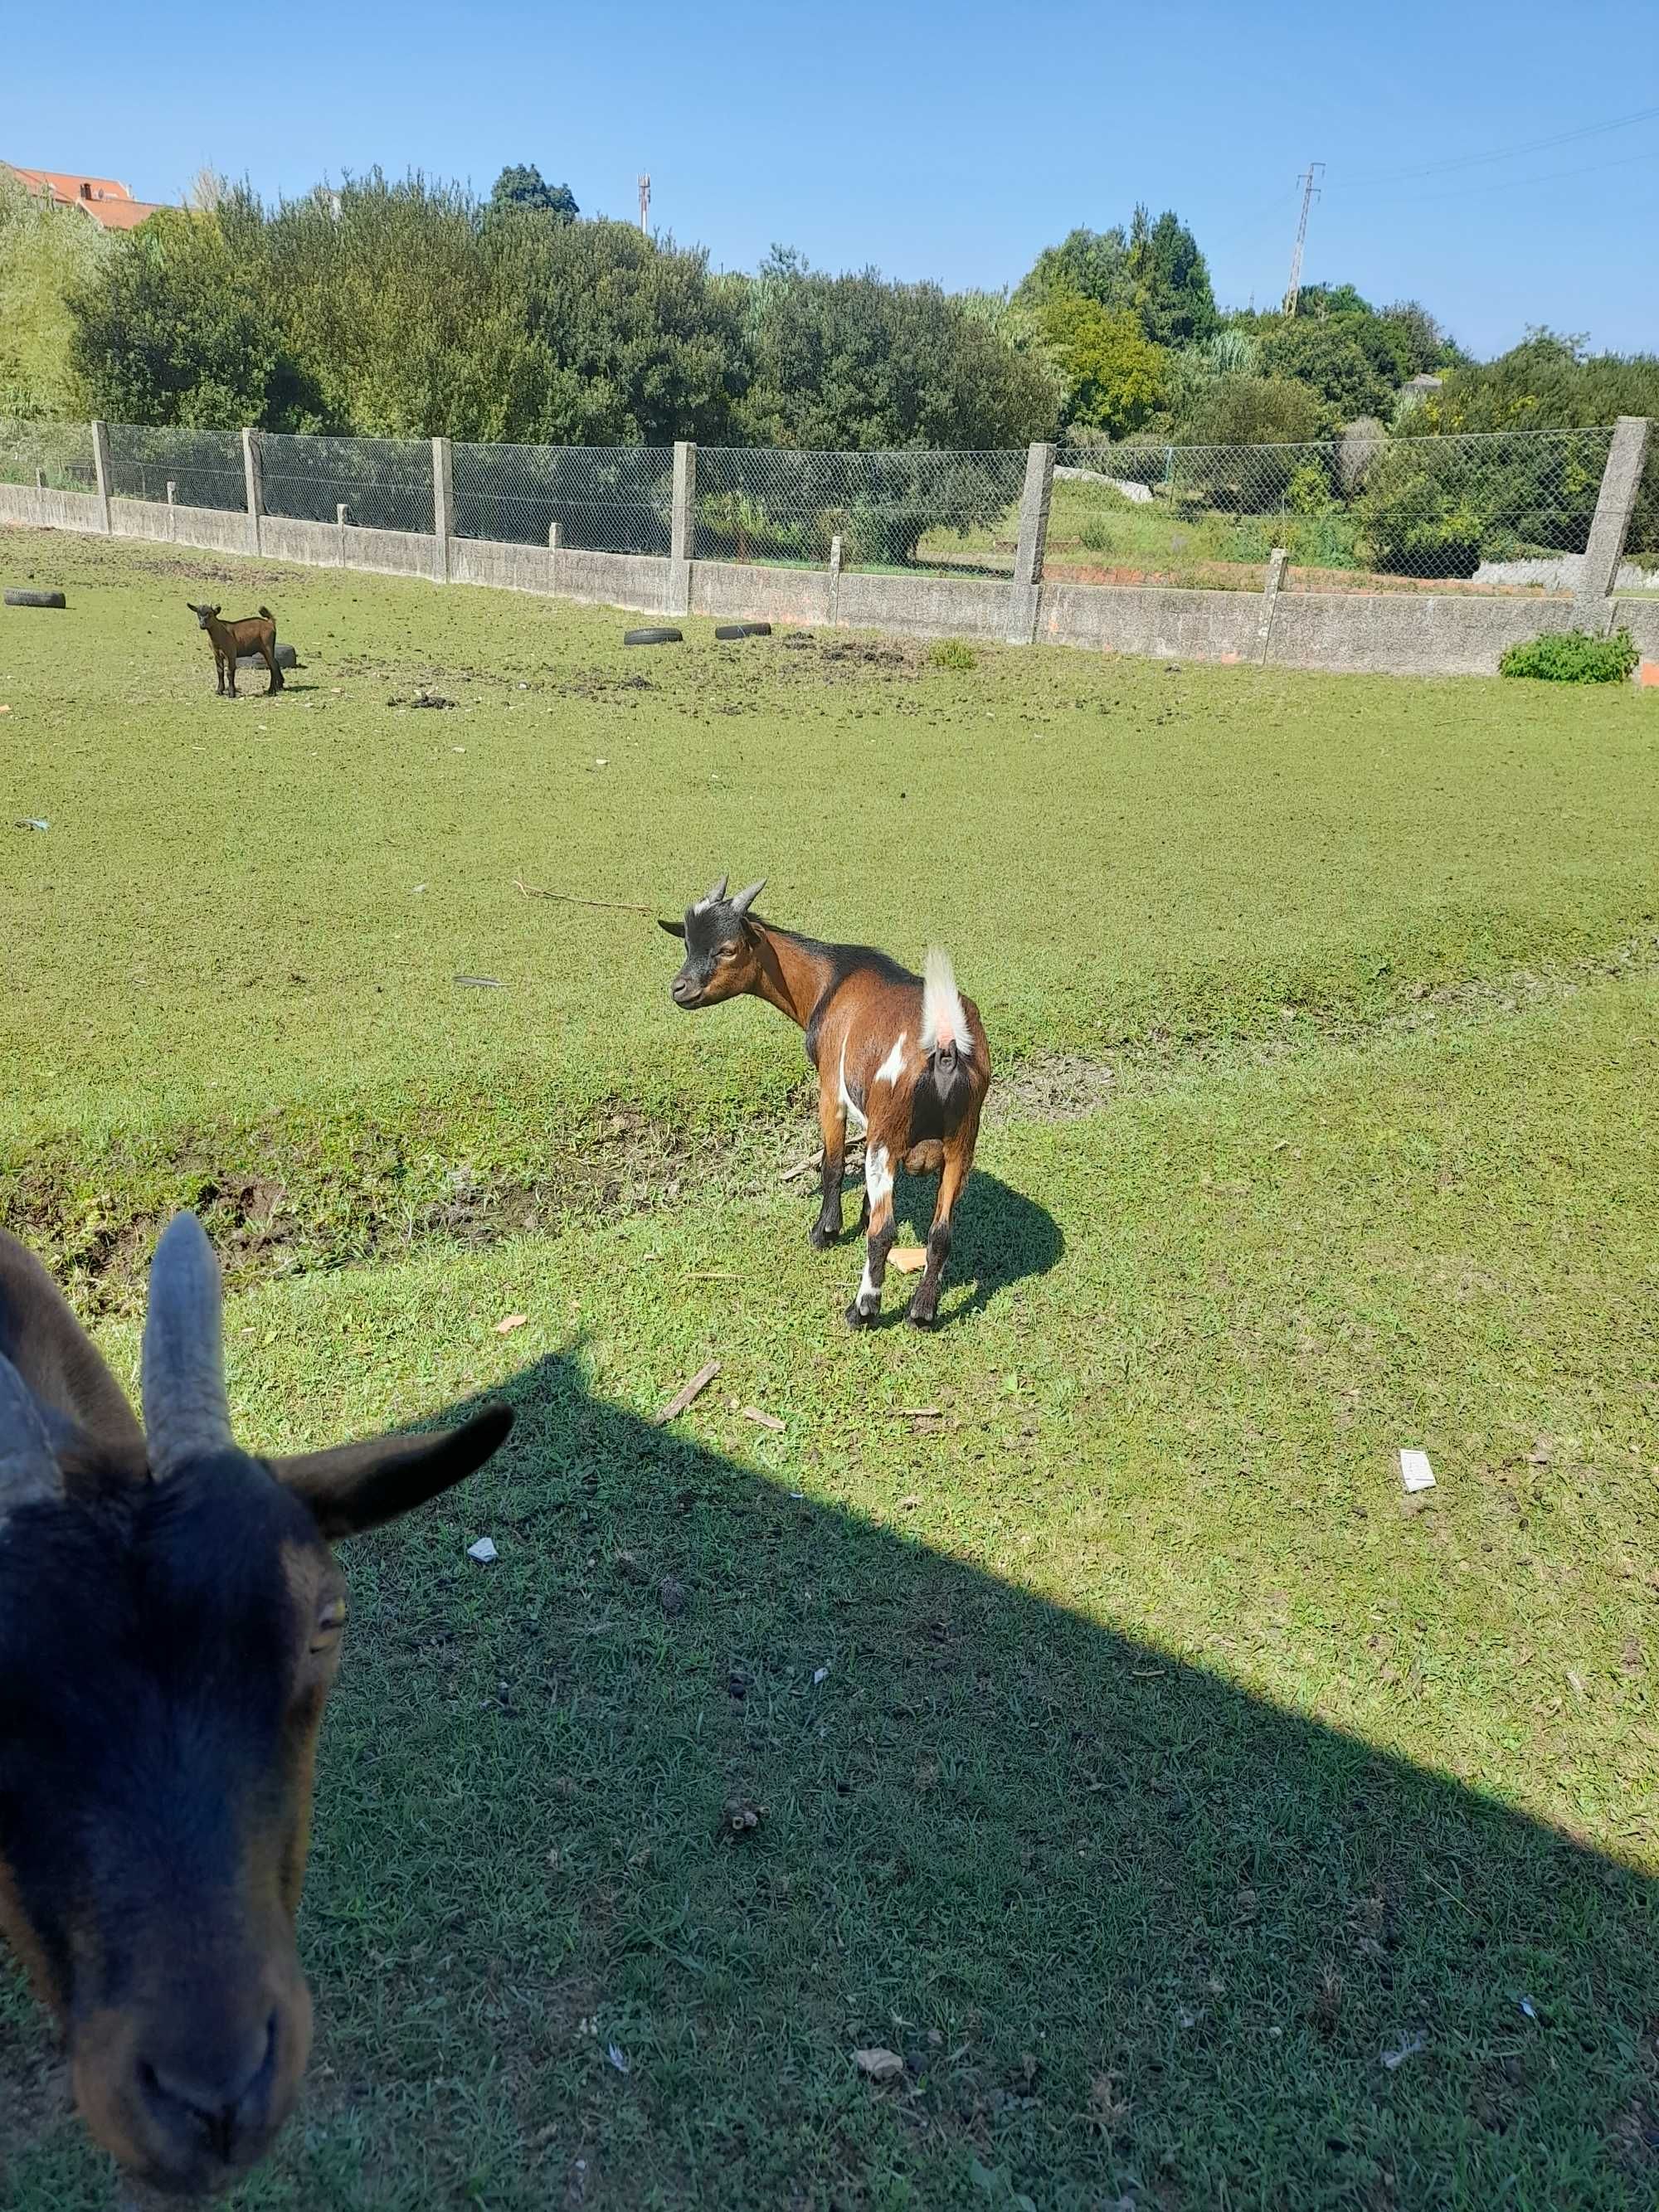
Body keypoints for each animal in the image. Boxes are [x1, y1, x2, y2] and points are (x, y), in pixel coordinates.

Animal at [668, 871, 995, 1318]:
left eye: (727, 949)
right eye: (688, 944)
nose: (679, 989)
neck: (832, 980)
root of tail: (946, 1042)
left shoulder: (830, 1092)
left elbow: (833, 1164)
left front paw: (825, 1231)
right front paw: (858, 1217)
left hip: (890, 1133)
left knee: (886, 1231)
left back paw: (862, 1310)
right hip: (963, 1140)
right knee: (941, 1232)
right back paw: (921, 1312)